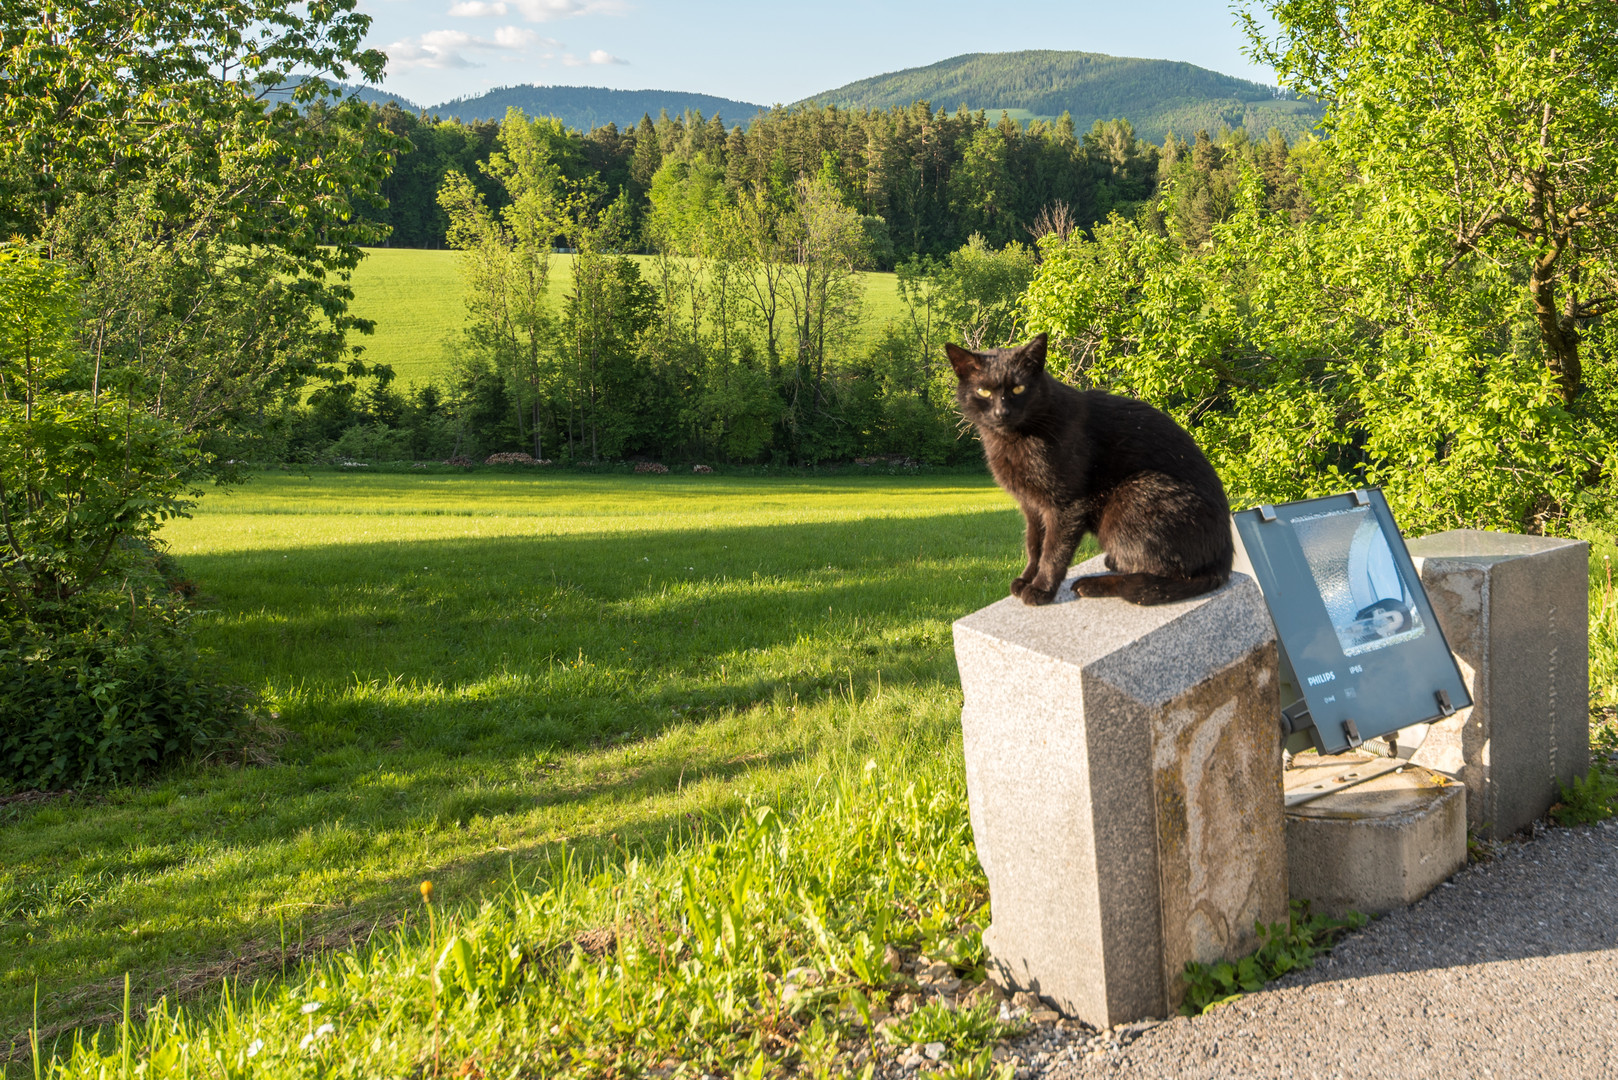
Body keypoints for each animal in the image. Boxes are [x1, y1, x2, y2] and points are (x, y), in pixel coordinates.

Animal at [944, 335, 1229, 608]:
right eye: (983, 391)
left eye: (1018, 388)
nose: (1001, 412)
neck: (1015, 440)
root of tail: (1223, 560)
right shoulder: (1031, 505)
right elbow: (1034, 545)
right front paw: (1026, 579)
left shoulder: (1066, 504)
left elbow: (1053, 551)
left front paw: (1041, 589)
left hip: (1135, 493)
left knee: (1159, 578)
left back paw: (1092, 585)